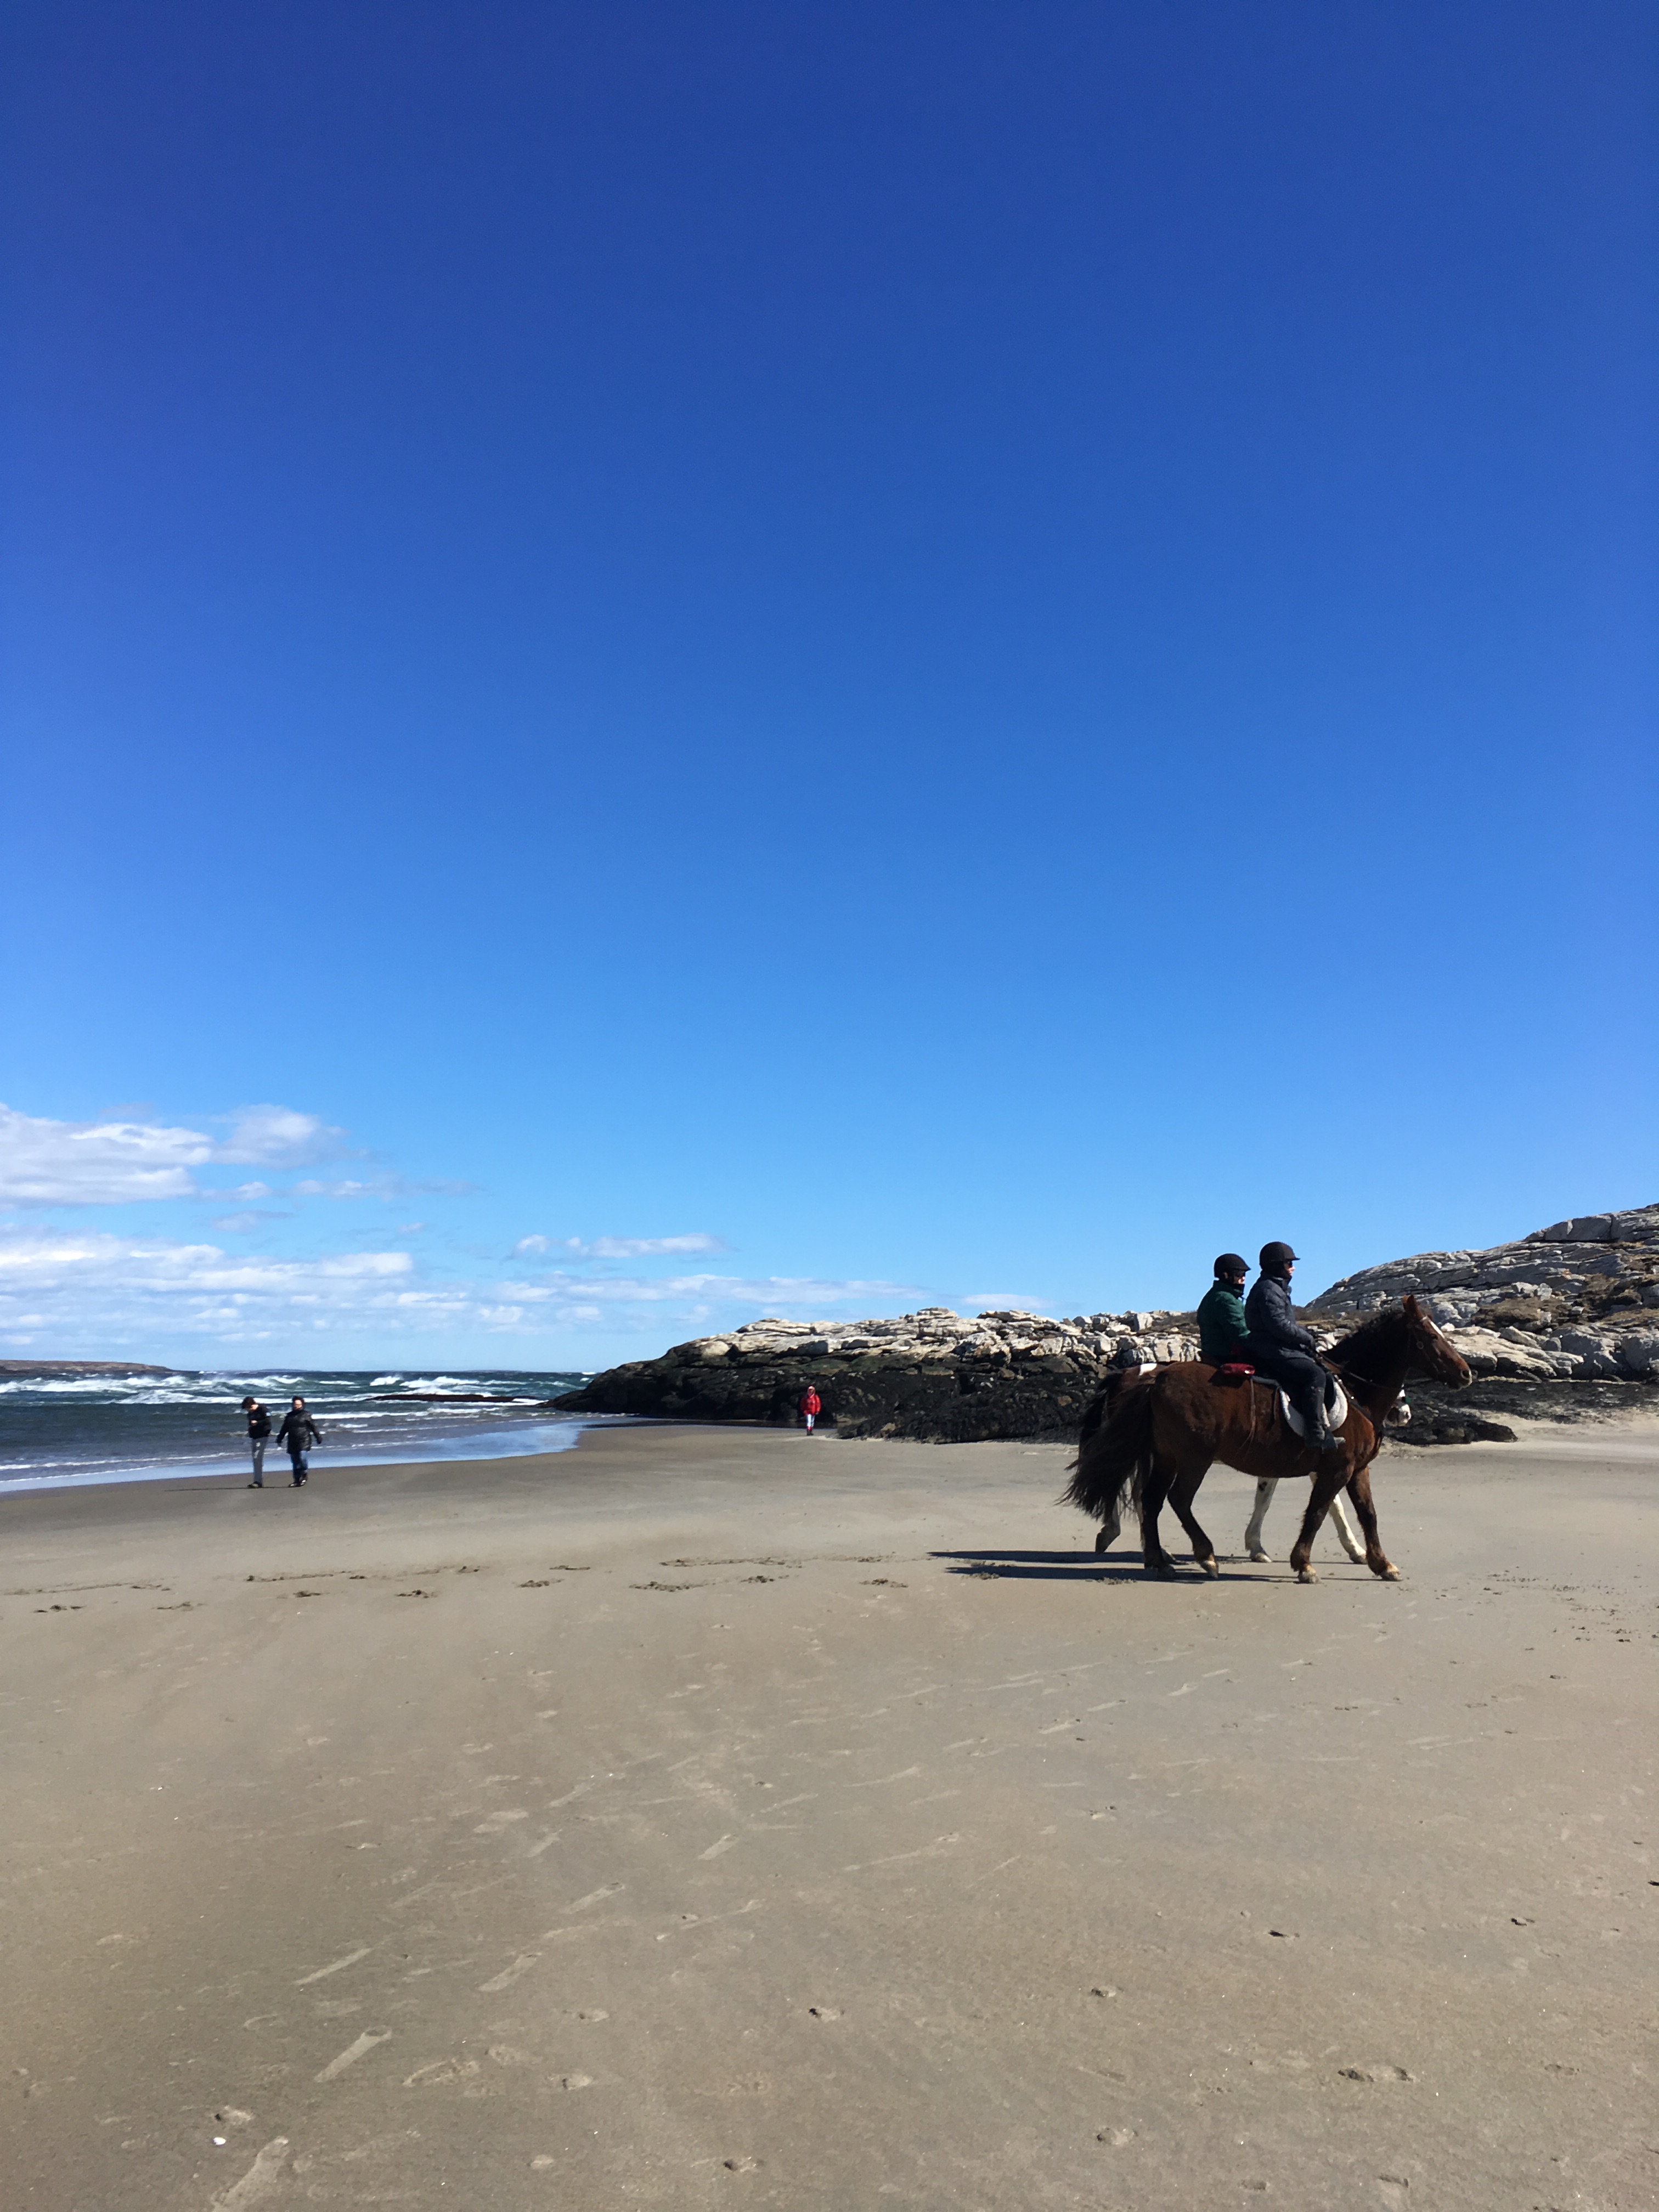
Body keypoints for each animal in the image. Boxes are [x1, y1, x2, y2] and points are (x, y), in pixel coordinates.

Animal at [1063, 1295, 1471, 1582]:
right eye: (1430, 1336)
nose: (1467, 1374)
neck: (1353, 1391)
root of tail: (1153, 1377)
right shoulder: (1334, 1468)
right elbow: (1322, 1510)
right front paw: (1305, 1563)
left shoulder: (1353, 1470)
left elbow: (1364, 1513)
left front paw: (1380, 1563)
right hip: (1192, 1458)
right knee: (1173, 1499)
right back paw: (1198, 1554)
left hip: (1165, 1457)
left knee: (1149, 1499)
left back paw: (1157, 1558)